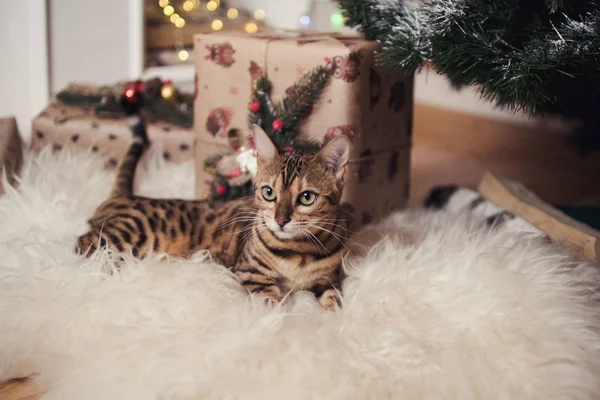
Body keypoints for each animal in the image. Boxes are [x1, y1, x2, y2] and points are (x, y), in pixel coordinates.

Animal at [78, 108, 354, 308]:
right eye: (269, 193)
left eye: (307, 197)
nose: (281, 220)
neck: (299, 253)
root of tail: (124, 196)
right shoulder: (250, 271)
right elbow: (272, 301)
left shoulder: (329, 281)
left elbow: (335, 302)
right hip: (131, 233)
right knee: (85, 242)